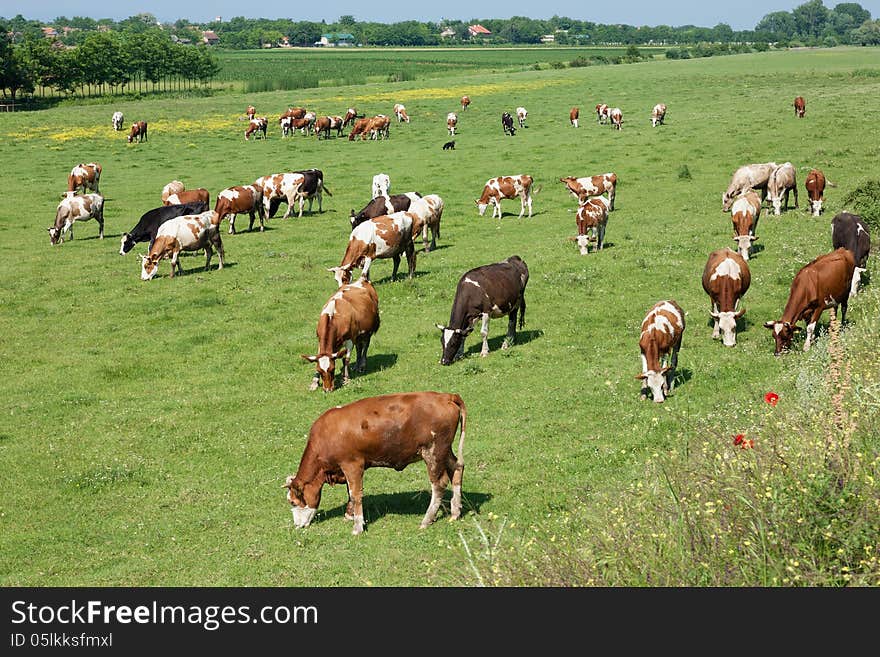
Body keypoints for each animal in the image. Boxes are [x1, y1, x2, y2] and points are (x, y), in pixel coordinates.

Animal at [284, 390, 468, 532]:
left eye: (293, 502)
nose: (297, 526)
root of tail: (446, 396)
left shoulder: (352, 464)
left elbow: (355, 494)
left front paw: (357, 527)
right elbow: (350, 493)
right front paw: (349, 515)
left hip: (433, 452)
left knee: (439, 484)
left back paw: (427, 520)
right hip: (444, 451)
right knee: (456, 468)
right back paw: (455, 512)